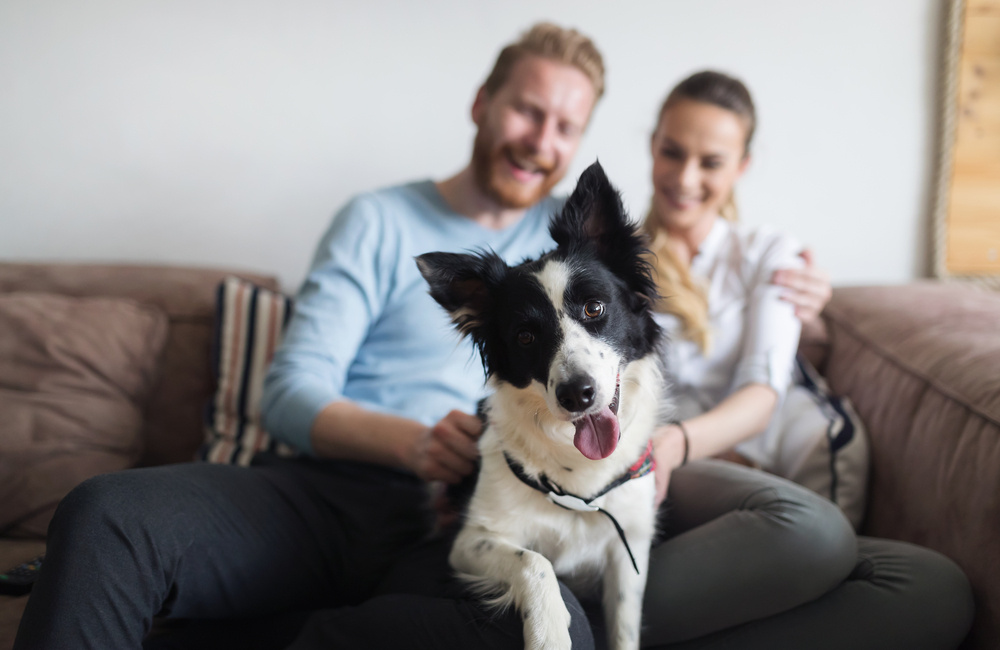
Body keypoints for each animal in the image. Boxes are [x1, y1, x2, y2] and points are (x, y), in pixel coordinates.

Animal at [418, 161, 668, 648]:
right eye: (525, 337)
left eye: (594, 308)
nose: (577, 394)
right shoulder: (470, 541)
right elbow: (536, 562)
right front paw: (549, 631)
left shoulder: (628, 548)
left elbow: (625, 626)